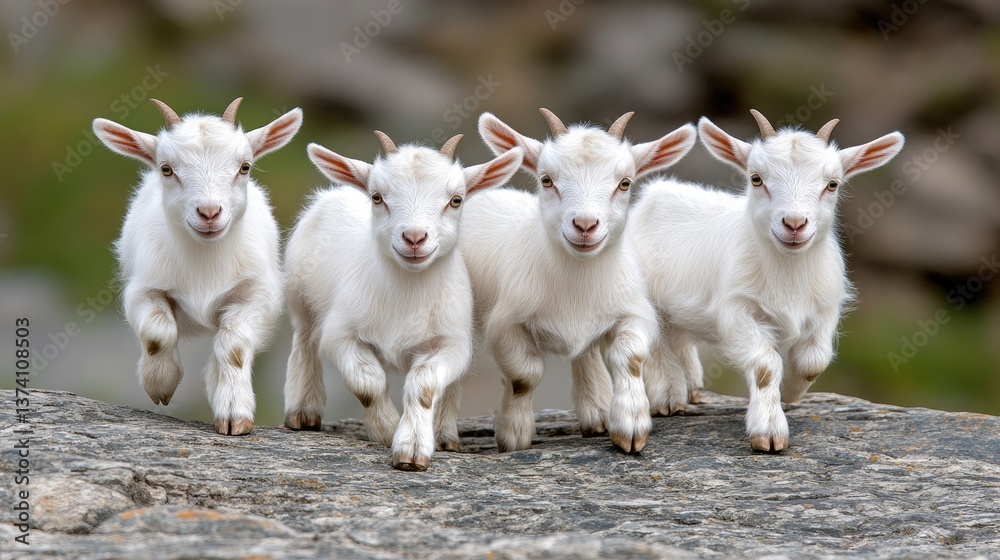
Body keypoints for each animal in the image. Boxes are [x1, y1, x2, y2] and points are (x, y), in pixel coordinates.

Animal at [93, 98, 302, 435]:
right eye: (166, 169)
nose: (209, 212)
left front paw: (233, 412)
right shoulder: (143, 288)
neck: (204, 265)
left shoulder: (257, 293)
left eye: (245, 166)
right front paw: (161, 383)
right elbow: (157, 333)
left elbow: (234, 347)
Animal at [283, 131, 521, 470]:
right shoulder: (341, 333)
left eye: (456, 200)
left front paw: (412, 448)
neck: (406, 294)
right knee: (304, 341)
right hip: (299, 294)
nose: (414, 238)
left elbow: (424, 387)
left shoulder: (450, 342)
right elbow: (366, 382)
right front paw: (385, 428)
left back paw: (445, 435)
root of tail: (338, 189)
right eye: (377, 197)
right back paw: (303, 411)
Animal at [460, 109, 697, 453]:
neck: (577, 286)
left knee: (585, 351)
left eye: (625, 183)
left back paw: (596, 410)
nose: (585, 225)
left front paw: (630, 425)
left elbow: (630, 359)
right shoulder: (506, 325)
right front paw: (513, 433)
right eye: (546, 179)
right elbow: (524, 375)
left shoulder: (633, 312)